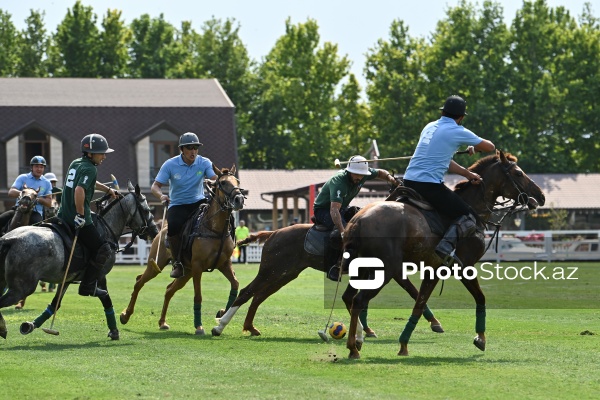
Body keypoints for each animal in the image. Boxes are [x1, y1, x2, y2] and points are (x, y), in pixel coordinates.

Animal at [0, 183, 158, 340]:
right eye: (146, 210)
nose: (155, 231)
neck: (106, 229)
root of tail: (10, 239)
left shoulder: (67, 279)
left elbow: (55, 304)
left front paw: (31, 325)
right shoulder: (100, 274)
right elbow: (105, 297)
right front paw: (114, 331)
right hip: (22, 287)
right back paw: (3, 328)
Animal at [340, 151, 548, 360]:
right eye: (518, 173)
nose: (541, 196)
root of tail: (357, 221)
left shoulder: (433, 270)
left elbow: (419, 303)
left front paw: (404, 344)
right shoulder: (465, 267)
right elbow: (480, 298)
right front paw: (480, 338)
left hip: (363, 268)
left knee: (350, 297)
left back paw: (358, 340)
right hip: (384, 270)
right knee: (359, 300)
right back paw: (353, 347)